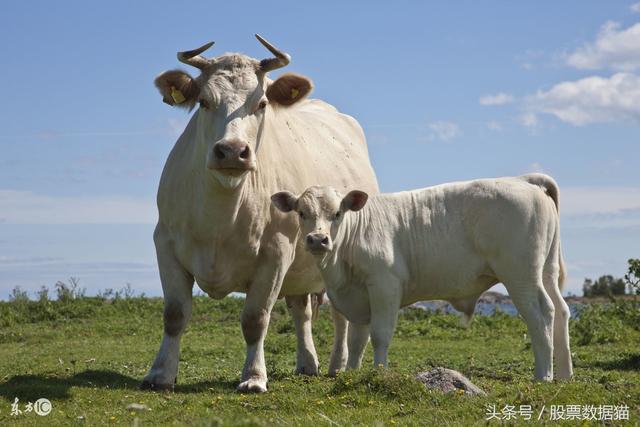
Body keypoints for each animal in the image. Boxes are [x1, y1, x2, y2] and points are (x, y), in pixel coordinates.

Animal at [141, 35, 376, 392]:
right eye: (204, 102)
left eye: (262, 103)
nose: (232, 151)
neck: (220, 216)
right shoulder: (165, 244)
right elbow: (175, 314)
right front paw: (160, 374)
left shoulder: (276, 253)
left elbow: (256, 318)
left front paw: (253, 376)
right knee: (301, 311)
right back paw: (308, 363)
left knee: (341, 315)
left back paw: (339, 366)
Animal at [272, 176, 572, 382]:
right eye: (302, 213)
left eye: (337, 213)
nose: (318, 239)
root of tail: (524, 180)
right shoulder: (358, 299)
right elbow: (357, 341)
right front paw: (352, 374)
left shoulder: (384, 285)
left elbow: (380, 335)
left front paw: (378, 373)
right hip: (545, 272)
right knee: (561, 310)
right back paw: (565, 374)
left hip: (521, 275)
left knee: (542, 313)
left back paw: (543, 375)